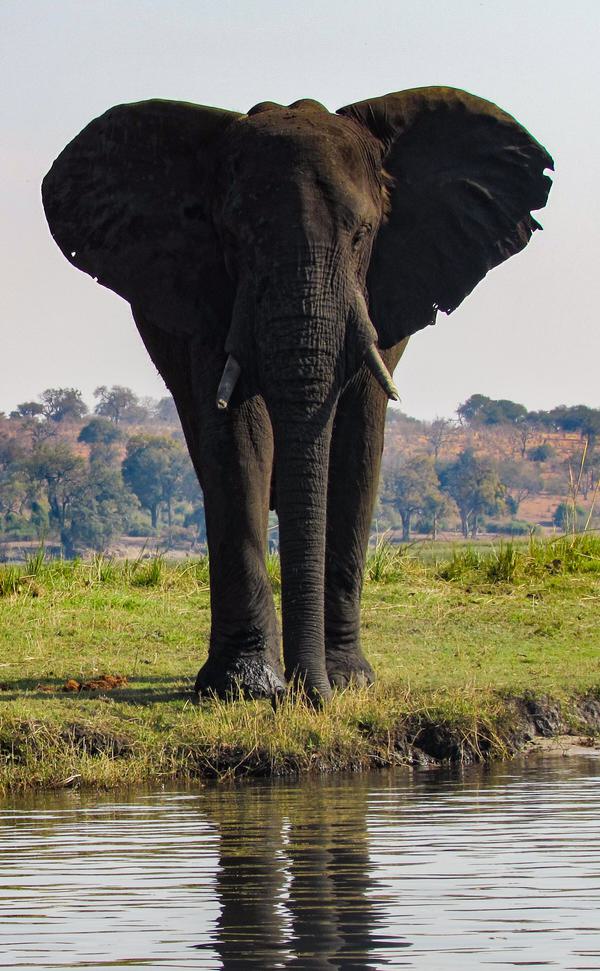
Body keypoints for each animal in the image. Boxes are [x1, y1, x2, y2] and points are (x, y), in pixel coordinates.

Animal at [42, 87, 552, 703]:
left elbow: (357, 444)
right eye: (234, 237)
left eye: (362, 236)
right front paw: (244, 690)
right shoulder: (211, 291)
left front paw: (349, 683)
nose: (306, 696)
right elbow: (239, 437)